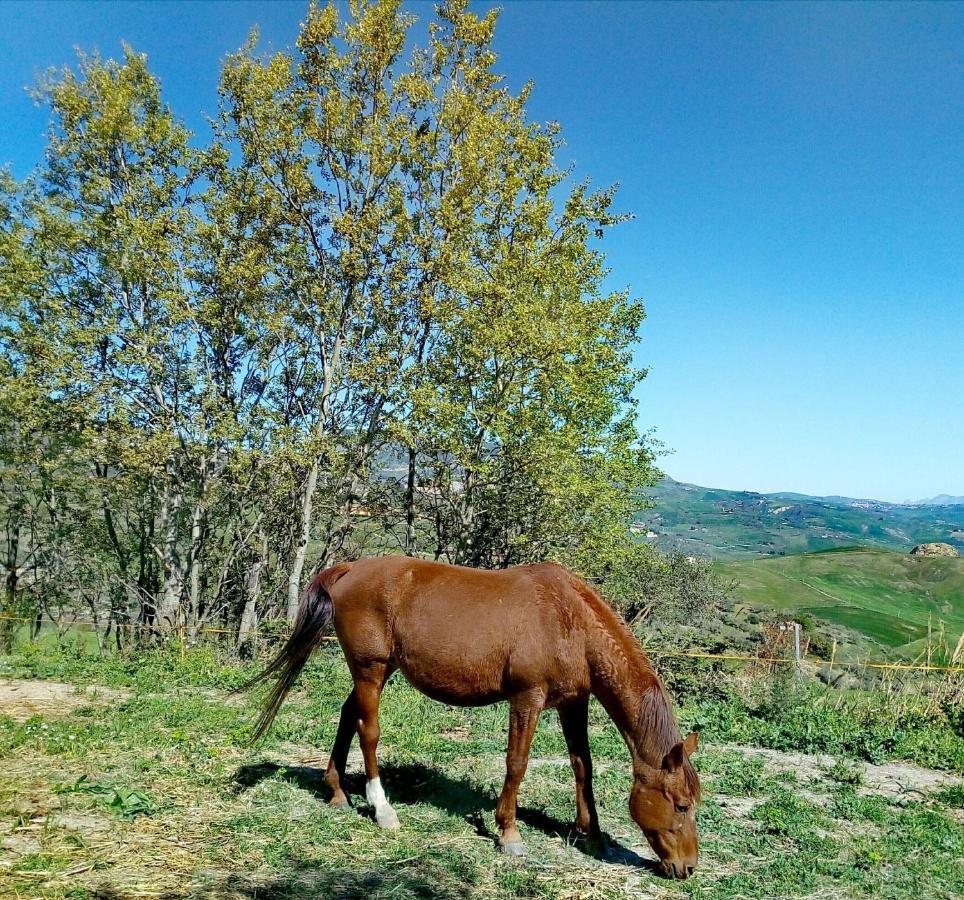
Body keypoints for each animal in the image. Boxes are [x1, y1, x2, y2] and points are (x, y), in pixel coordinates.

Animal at [241, 556, 700, 880]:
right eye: (680, 805)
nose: (688, 868)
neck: (568, 619)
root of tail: (351, 568)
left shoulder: (574, 703)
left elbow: (582, 766)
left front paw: (592, 835)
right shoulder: (527, 700)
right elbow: (517, 765)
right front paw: (508, 833)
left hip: (378, 671)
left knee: (347, 715)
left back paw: (337, 792)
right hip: (370, 669)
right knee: (368, 731)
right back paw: (382, 808)